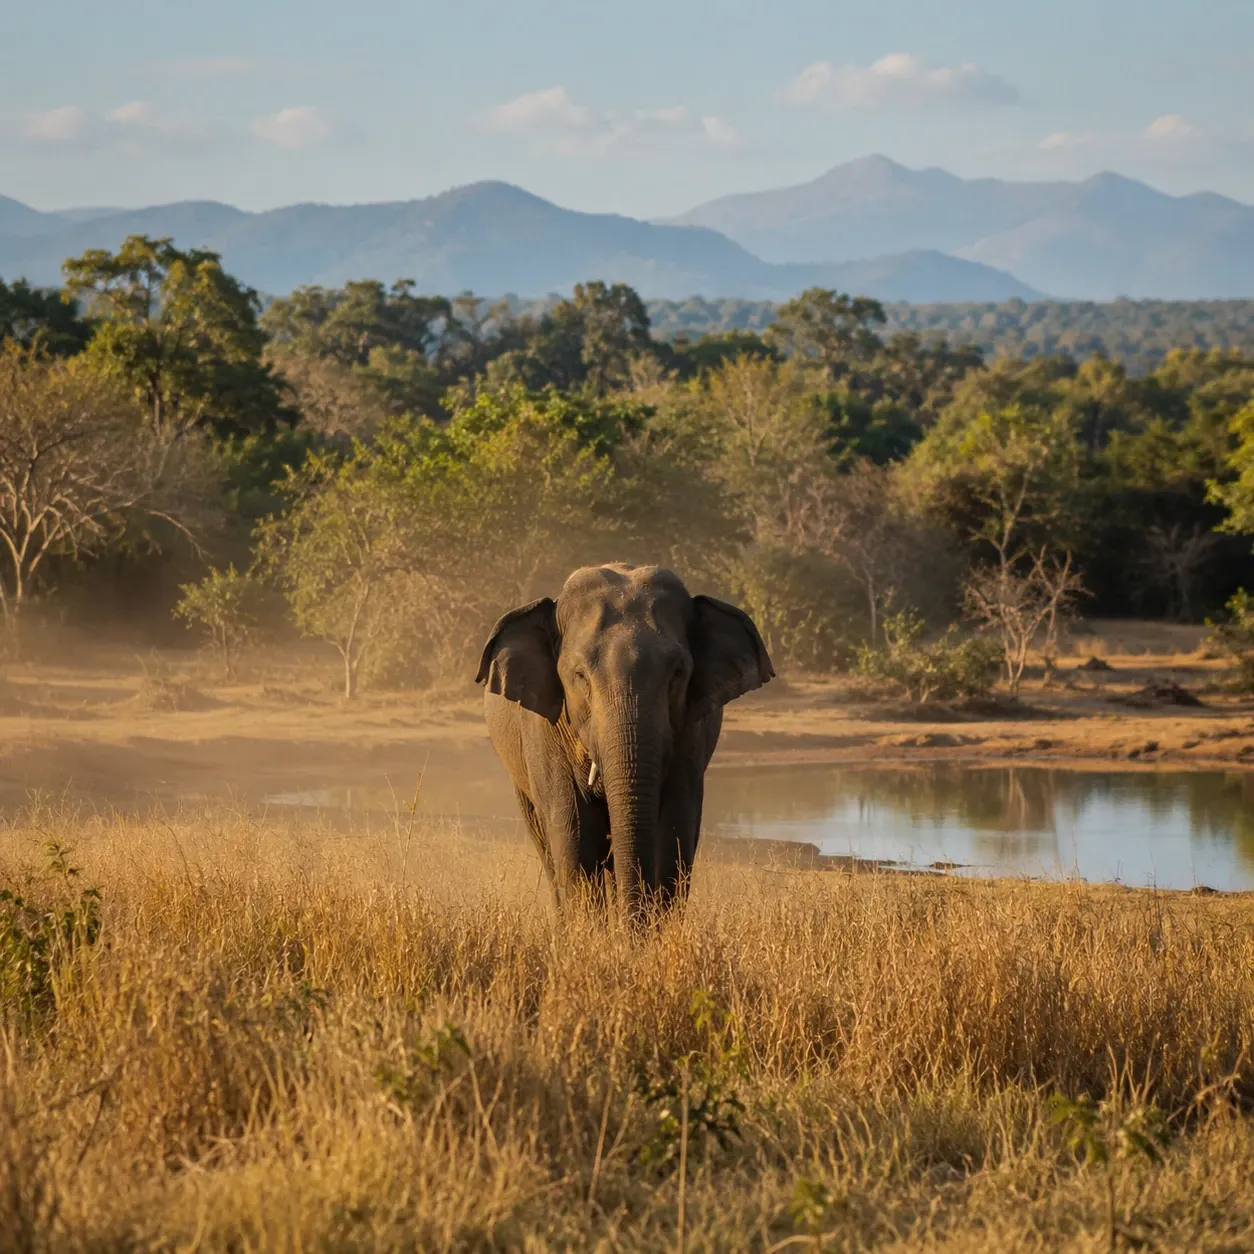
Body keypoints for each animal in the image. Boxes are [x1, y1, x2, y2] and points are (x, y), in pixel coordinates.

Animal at [475, 563, 774, 922]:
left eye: (678, 673)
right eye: (579, 676)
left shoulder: (691, 731)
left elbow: (673, 833)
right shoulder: (545, 729)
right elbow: (575, 836)